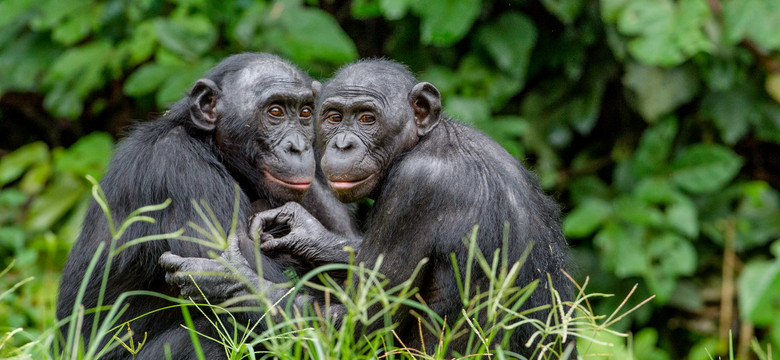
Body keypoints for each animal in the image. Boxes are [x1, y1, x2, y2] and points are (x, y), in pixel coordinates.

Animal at [55, 52, 356, 358]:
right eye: (275, 112)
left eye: (305, 113)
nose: (298, 147)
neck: (210, 146)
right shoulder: (184, 173)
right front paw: (230, 277)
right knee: (209, 334)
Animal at [160, 59, 572, 358]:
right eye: (333, 117)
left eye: (367, 118)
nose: (343, 143)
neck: (422, 142)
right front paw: (301, 231)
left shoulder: (415, 192)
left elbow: (347, 327)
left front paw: (225, 276)